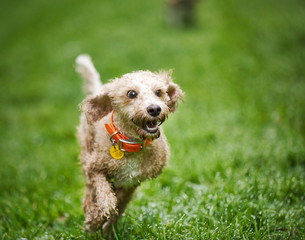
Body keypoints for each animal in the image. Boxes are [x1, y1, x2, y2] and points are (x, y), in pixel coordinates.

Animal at [75, 54, 183, 234]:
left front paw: (107, 228)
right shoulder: (96, 167)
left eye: (159, 92)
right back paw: (90, 209)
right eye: (131, 93)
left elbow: (119, 204)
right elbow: (105, 195)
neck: (131, 144)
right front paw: (94, 221)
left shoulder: (132, 182)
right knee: (90, 187)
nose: (154, 109)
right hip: (87, 150)